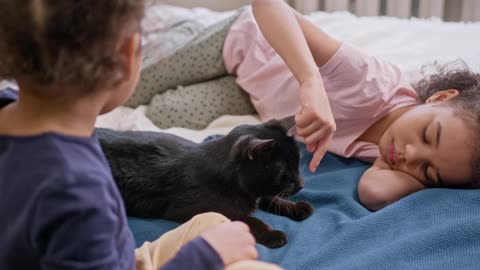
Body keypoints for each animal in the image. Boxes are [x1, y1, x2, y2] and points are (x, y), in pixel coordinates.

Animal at [97, 116, 316, 249]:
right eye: (283, 171)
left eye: (297, 163)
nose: (301, 184)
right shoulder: (199, 208)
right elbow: (249, 219)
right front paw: (272, 235)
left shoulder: (257, 193)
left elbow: (272, 198)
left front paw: (297, 208)